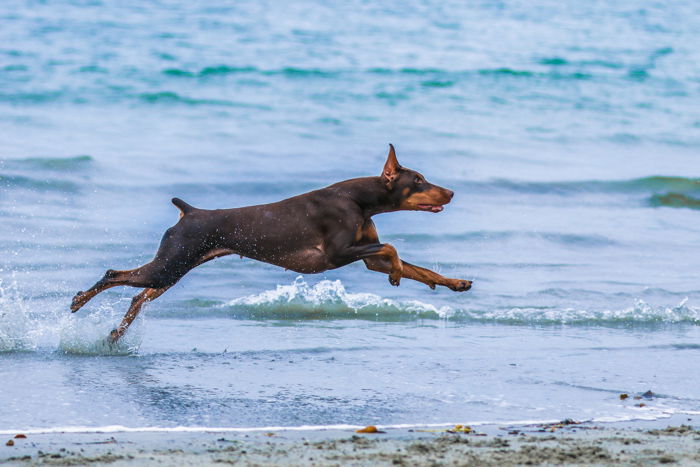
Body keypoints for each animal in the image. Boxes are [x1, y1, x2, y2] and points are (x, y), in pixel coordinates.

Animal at [71, 146, 474, 344]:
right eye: (418, 180)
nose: (453, 192)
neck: (358, 200)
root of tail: (188, 212)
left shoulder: (364, 255)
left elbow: (416, 266)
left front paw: (454, 282)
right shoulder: (335, 255)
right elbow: (392, 249)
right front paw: (396, 275)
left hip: (174, 269)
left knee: (138, 297)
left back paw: (116, 333)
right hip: (170, 264)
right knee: (114, 274)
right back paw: (78, 301)